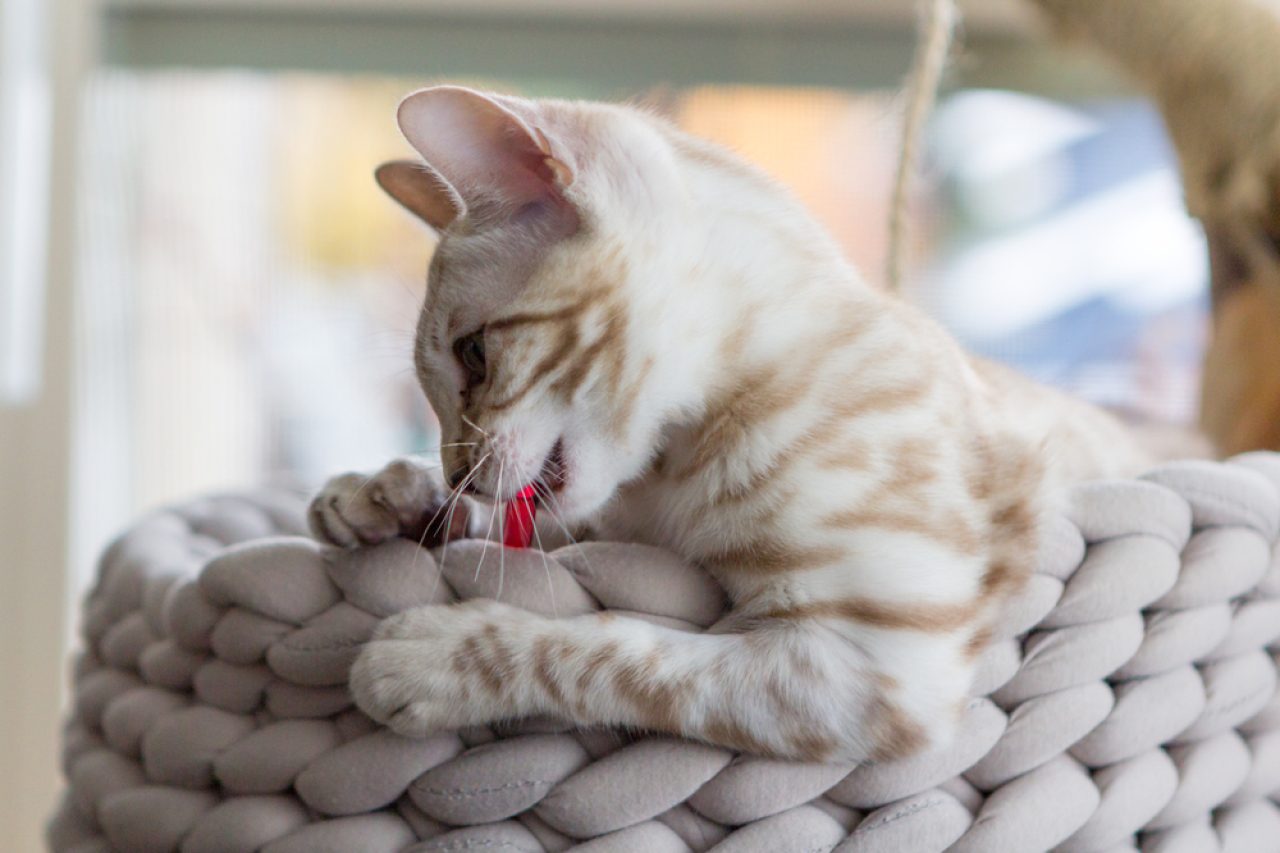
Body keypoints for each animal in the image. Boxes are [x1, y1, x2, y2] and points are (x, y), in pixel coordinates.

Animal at [307, 86, 1152, 758]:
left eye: (475, 355)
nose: (456, 468)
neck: (670, 475)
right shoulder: (602, 523)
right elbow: (528, 530)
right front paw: (385, 493)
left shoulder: (875, 664)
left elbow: (619, 653)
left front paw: (432, 655)